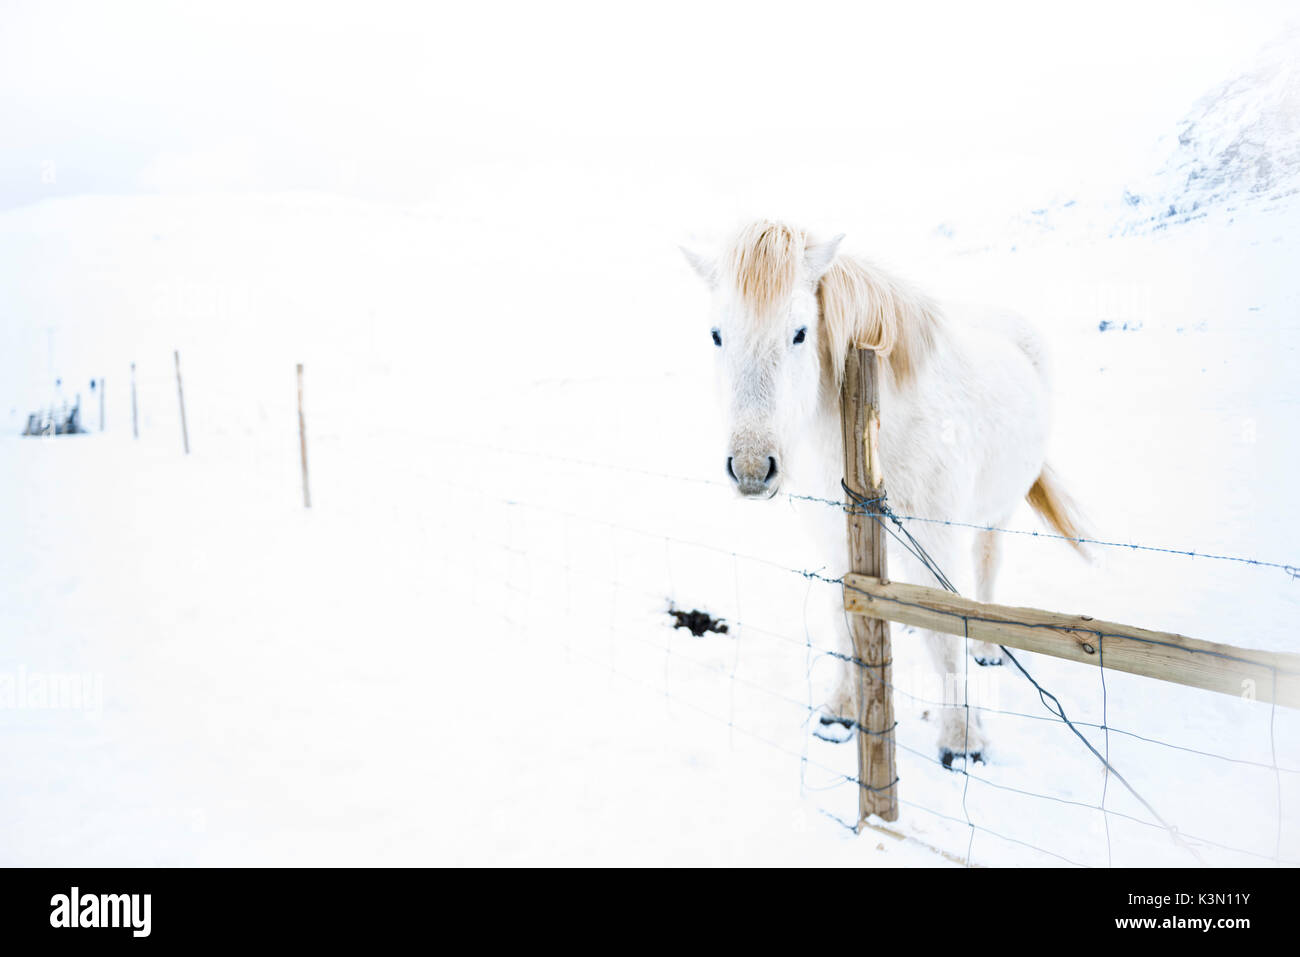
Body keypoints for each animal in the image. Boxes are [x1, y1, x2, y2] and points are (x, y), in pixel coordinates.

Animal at [681, 221, 1086, 764]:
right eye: (717, 335)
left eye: (800, 333)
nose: (750, 469)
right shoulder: (836, 542)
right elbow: (844, 620)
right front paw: (839, 711)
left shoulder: (936, 541)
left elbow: (945, 638)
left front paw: (962, 740)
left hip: (993, 513)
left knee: (985, 567)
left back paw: (985, 651)